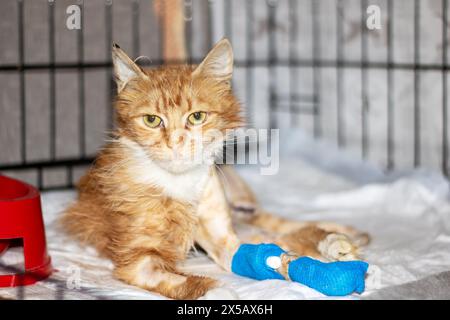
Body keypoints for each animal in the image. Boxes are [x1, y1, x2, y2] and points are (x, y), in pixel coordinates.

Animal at [61, 38, 368, 298]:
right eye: (151, 120)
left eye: (197, 117)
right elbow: (179, 280)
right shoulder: (137, 260)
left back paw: (335, 239)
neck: (179, 183)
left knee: (283, 228)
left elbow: (270, 255)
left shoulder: (225, 239)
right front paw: (216, 291)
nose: (176, 143)